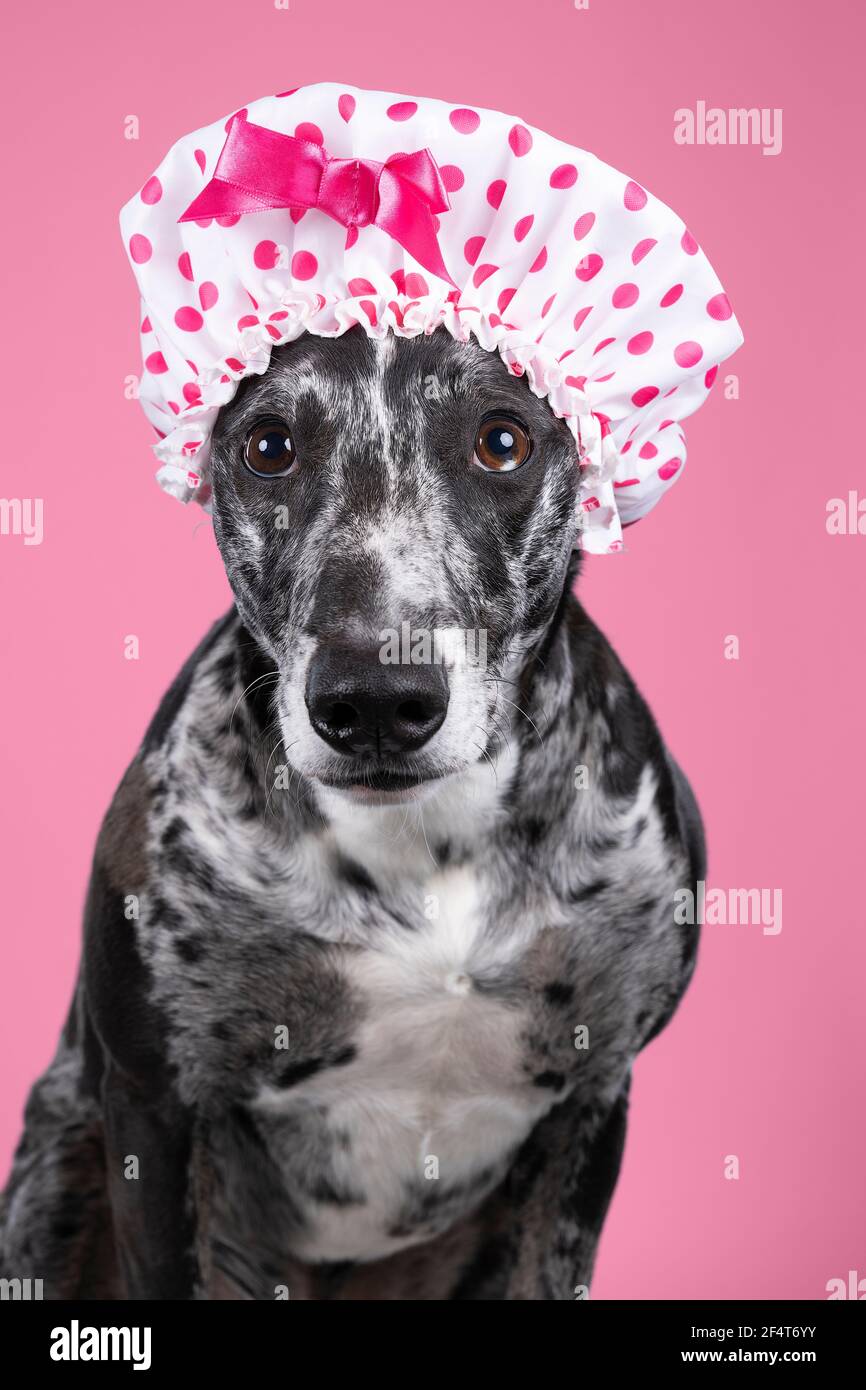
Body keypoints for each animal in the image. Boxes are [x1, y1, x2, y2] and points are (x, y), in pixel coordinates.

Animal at [1, 325, 706, 1301]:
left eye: (502, 440)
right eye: (270, 447)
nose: (374, 699)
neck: (428, 841)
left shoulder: (591, 1103)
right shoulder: (153, 1107)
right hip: (55, 1172)